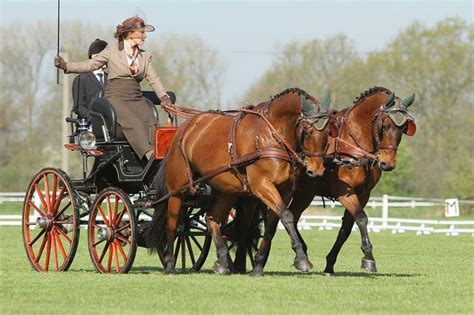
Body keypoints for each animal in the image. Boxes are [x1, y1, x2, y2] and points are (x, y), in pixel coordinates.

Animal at [146, 88, 336, 274]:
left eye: (328, 134)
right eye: (307, 132)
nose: (316, 170)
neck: (271, 134)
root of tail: (185, 127)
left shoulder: (285, 190)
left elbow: (272, 224)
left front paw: (258, 265)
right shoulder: (262, 185)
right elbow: (288, 216)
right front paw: (302, 259)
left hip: (225, 191)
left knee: (211, 218)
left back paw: (222, 262)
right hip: (177, 188)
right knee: (173, 224)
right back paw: (170, 264)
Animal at [250, 86, 416, 276]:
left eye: (403, 128)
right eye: (385, 125)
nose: (388, 163)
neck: (353, 142)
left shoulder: (363, 194)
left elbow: (347, 228)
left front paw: (330, 265)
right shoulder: (344, 192)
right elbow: (361, 218)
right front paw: (368, 258)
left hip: (305, 193)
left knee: (290, 216)